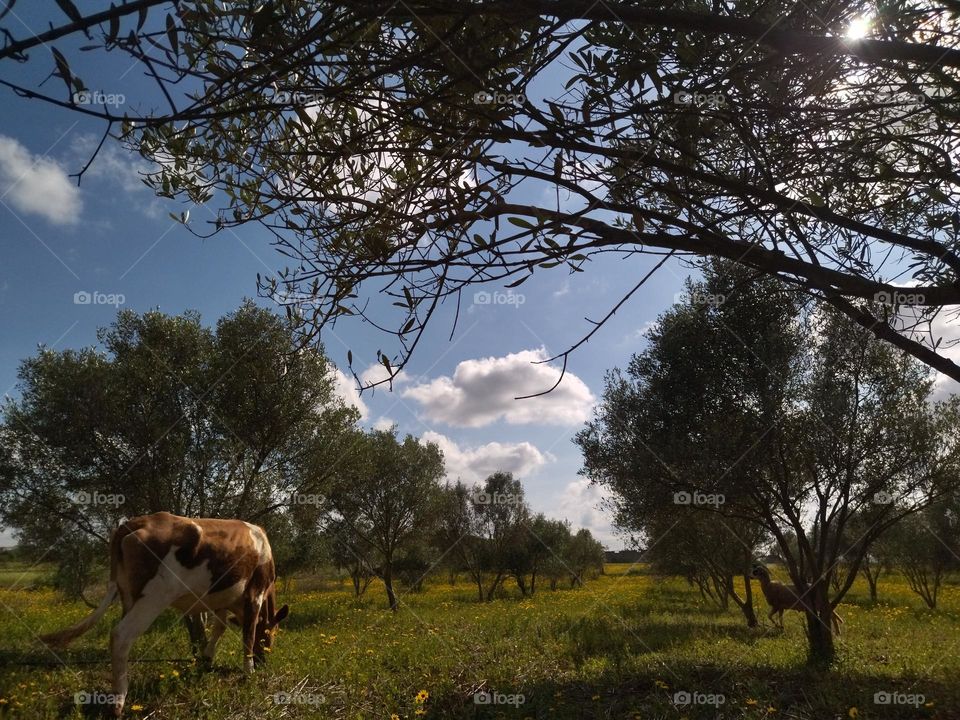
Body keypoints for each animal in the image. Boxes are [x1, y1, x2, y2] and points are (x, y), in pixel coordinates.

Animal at [41, 512, 289, 716]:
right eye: (271, 635)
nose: (264, 660)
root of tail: (136, 522)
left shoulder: (223, 599)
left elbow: (220, 627)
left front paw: (207, 658)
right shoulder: (255, 594)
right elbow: (249, 632)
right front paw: (249, 670)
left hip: (128, 597)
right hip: (153, 598)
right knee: (120, 635)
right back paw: (119, 700)